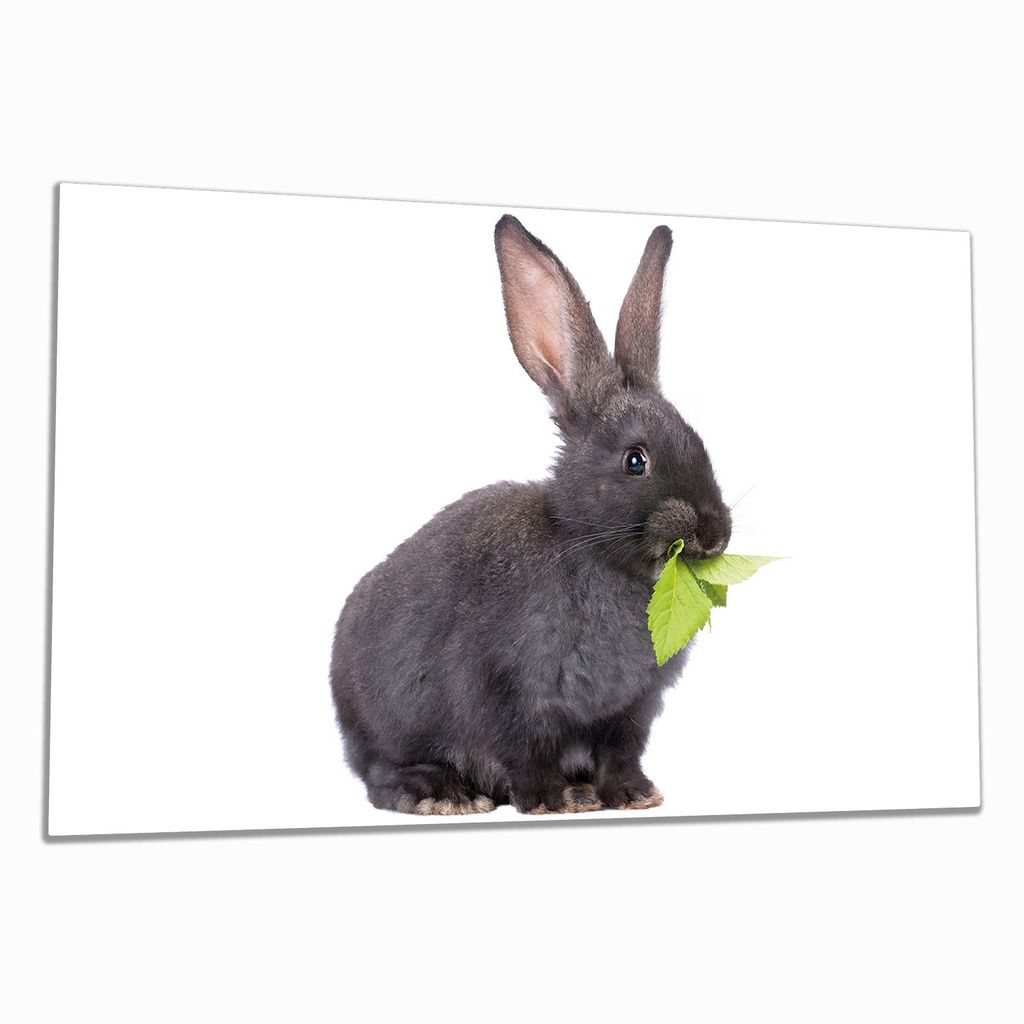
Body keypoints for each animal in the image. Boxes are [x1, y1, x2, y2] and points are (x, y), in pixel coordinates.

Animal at [329, 214, 732, 816]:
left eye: (700, 443)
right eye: (635, 460)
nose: (714, 533)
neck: (592, 553)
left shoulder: (631, 711)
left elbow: (620, 753)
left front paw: (632, 795)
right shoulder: (505, 691)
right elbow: (524, 751)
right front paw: (548, 800)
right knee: (380, 774)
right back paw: (441, 793)